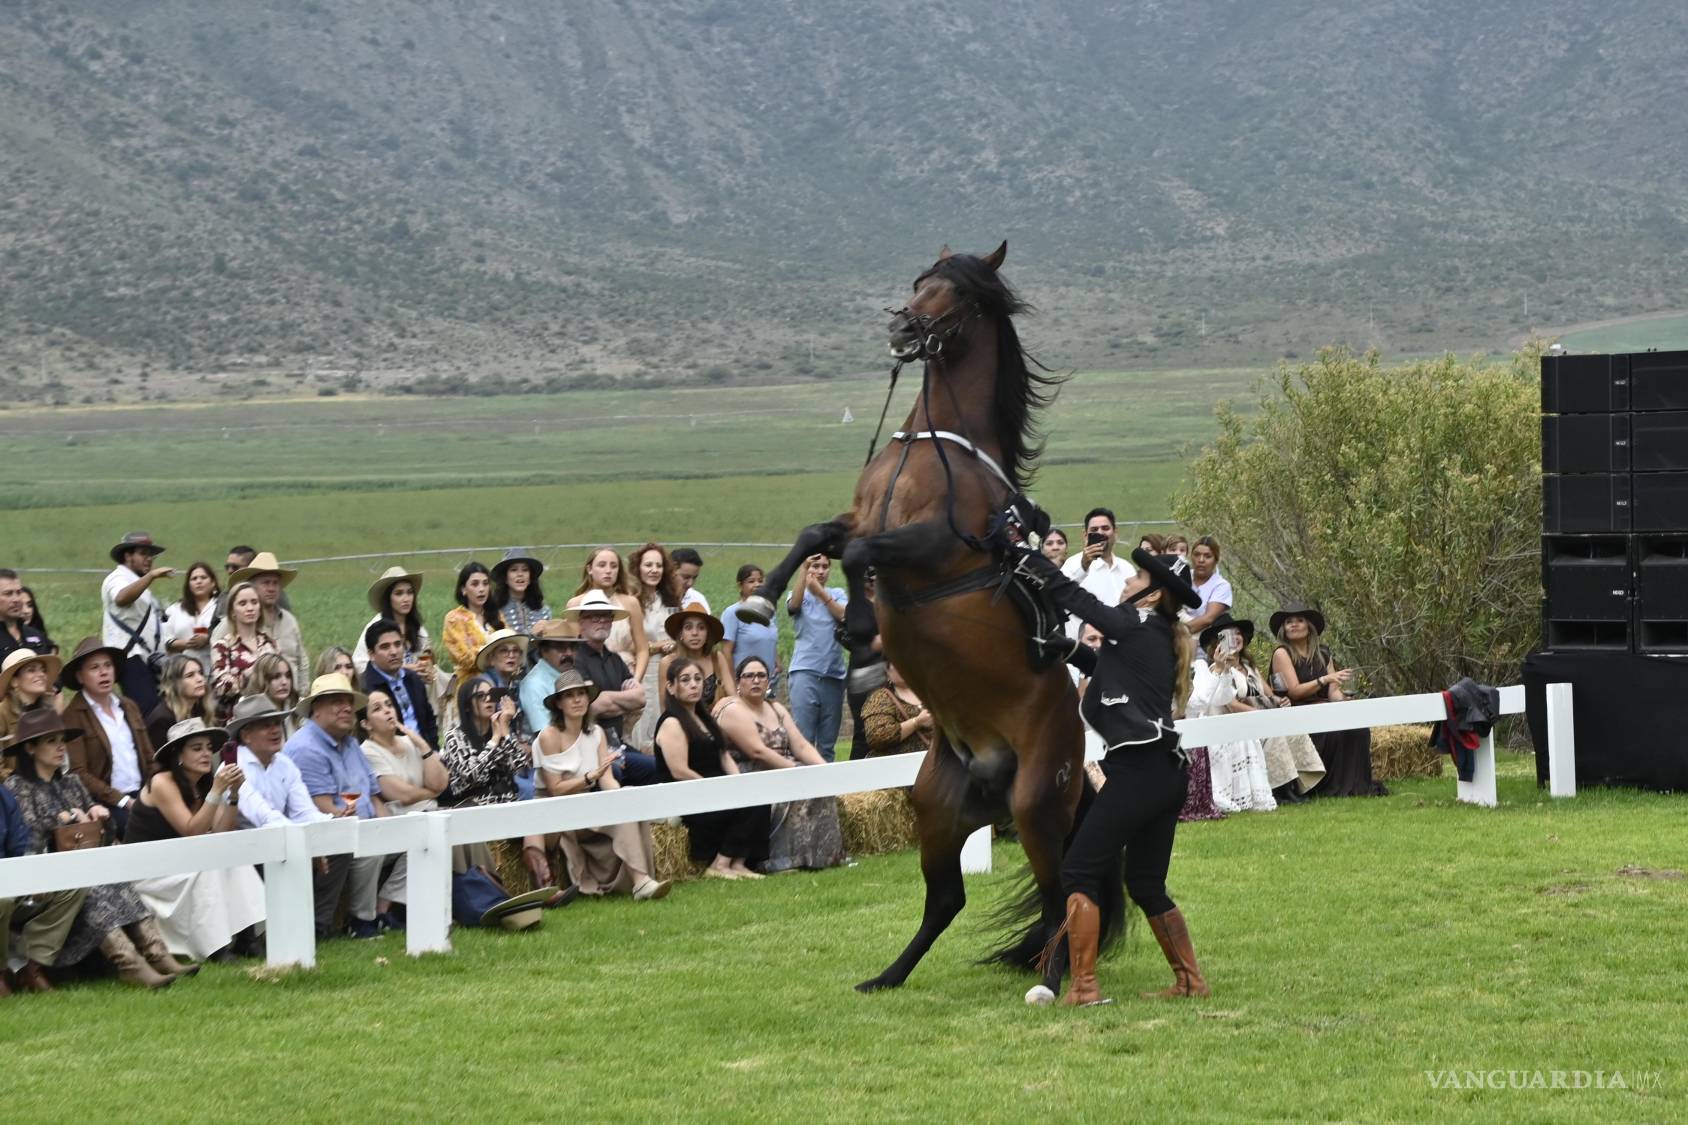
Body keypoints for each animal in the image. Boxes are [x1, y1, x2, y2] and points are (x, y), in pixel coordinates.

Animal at [736, 243, 1123, 995]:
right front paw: (762, 597)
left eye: (961, 294)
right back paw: (887, 976)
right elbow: (816, 534)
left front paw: (860, 630)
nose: (903, 327)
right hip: (935, 808)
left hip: (1036, 804)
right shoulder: (859, 517)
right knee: (948, 898)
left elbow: (861, 554)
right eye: (921, 281)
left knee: (1061, 894)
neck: (931, 448)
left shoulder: (936, 547)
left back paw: (1052, 981)